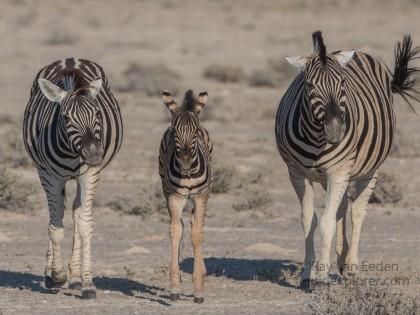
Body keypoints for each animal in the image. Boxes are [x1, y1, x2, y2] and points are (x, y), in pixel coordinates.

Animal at [22, 58, 123, 300]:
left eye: (98, 115)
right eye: (66, 118)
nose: (94, 155)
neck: (70, 151)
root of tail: (71, 59)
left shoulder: (89, 175)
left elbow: (85, 225)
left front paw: (87, 283)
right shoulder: (50, 177)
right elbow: (55, 227)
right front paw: (57, 274)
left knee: (77, 214)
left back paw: (75, 277)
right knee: (56, 215)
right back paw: (51, 275)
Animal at [158, 89, 213, 304]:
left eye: (195, 132)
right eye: (175, 132)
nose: (186, 162)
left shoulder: (200, 196)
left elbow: (197, 234)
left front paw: (198, 289)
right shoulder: (174, 197)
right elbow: (175, 231)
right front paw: (174, 286)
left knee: (196, 224)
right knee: (181, 225)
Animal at [276, 32, 420, 288]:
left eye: (343, 83)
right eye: (309, 86)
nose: (335, 131)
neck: (317, 138)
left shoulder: (339, 171)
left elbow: (326, 222)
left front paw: (322, 275)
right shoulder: (297, 173)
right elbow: (309, 220)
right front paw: (307, 273)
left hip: (369, 171)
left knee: (357, 212)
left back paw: (351, 265)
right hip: (330, 177)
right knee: (342, 208)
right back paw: (342, 260)